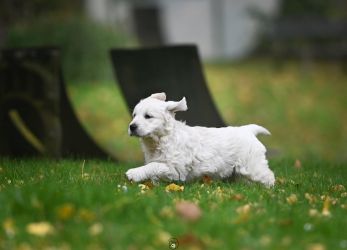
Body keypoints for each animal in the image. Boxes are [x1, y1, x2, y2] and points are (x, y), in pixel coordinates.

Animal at [126, 93, 276, 187]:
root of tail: (248, 130)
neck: (161, 139)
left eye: (148, 116)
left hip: (252, 165)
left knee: (268, 176)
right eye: (134, 115)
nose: (132, 127)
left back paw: (270, 191)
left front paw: (134, 173)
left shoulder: (175, 169)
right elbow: (153, 170)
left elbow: (154, 166)